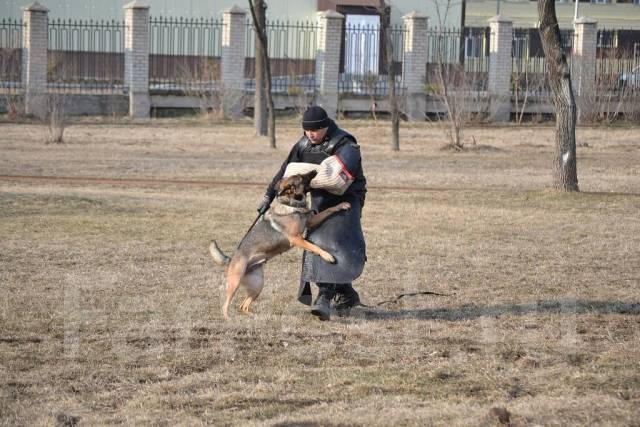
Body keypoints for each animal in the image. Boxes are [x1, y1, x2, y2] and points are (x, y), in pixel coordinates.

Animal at [210, 171, 350, 320]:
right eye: (301, 177)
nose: (314, 171)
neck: (292, 204)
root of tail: (231, 259)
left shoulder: (311, 222)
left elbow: (328, 210)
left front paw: (342, 205)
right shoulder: (296, 239)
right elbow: (315, 247)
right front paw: (328, 256)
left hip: (258, 286)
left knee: (243, 306)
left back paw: (253, 316)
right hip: (235, 282)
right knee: (226, 305)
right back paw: (228, 318)